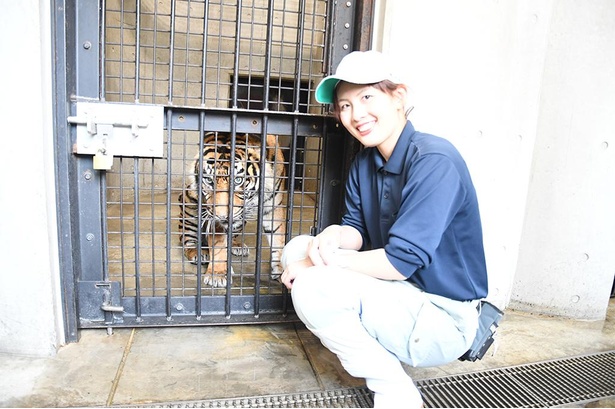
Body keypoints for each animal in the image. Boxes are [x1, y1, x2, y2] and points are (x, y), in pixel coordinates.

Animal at [178, 132, 288, 286]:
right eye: (209, 180)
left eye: (237, 180)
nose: (222, 217)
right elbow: (218, 245)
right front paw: (217, 275)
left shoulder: (273, 205)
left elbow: (278, 237)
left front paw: (283, 270)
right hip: (189, 203)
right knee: (187, 239)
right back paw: (198, 253)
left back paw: (237, 246)